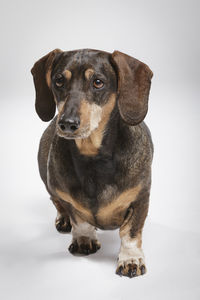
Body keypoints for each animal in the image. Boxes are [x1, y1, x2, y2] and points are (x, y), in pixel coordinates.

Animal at [30, 48, 153, 278]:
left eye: (98, 82)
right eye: (59, 80)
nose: (67, 123)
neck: (94, 159)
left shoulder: (140, 197)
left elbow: (131, 232)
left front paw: (130, 258)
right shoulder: (65, 196)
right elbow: (78, 218)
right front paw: (84, 239)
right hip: (47, 180)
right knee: (57, 203)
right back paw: (63, 220)